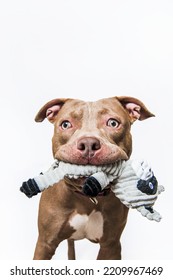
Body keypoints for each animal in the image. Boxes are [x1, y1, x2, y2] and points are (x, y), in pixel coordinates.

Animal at [32, 96, 154, 260]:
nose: (88, 143)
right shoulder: (45, 243)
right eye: (65, 124)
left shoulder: (111, 246)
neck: (86, 196)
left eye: (113, 123)